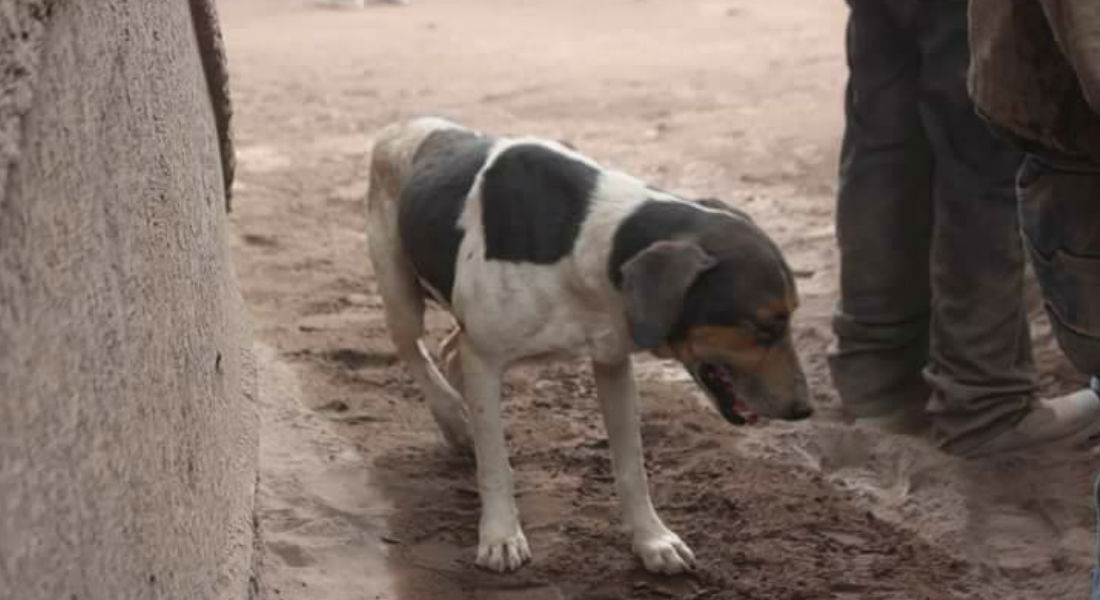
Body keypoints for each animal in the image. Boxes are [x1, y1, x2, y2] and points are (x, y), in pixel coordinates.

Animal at [365, 115, 814, 572]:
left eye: (790, 318)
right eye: (763, 327)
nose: (804, 409)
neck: (587, 243)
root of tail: (411, 124)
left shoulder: (612, 359)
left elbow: (632, 466)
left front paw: (652, 540)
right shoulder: (486, 357)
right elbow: (495, 465)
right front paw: (500, 535)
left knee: (451, 350)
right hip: (400, 291)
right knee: (414, 350)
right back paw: (454, 416)